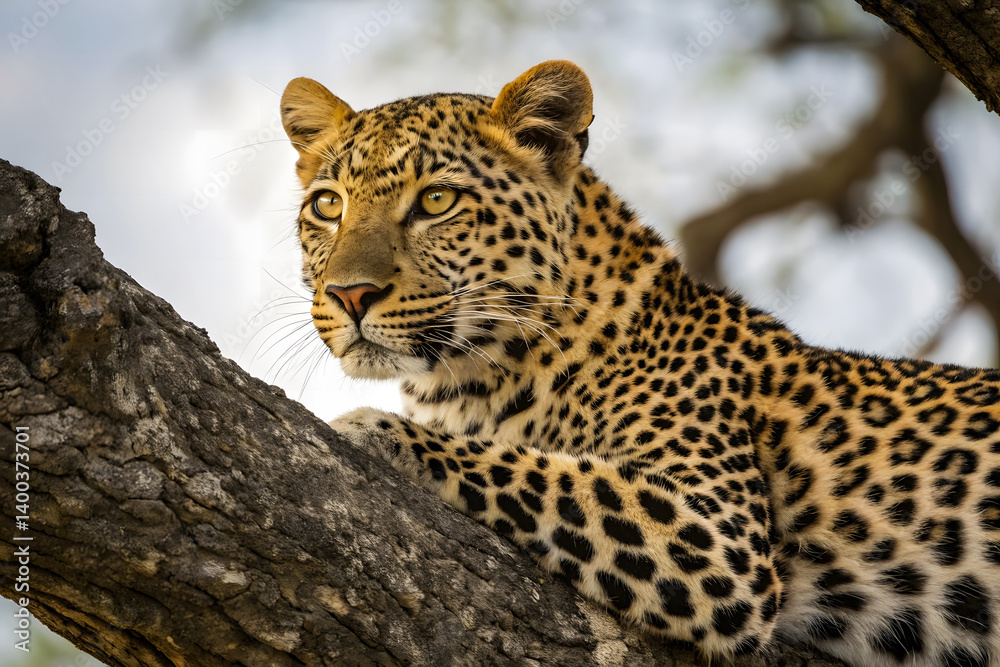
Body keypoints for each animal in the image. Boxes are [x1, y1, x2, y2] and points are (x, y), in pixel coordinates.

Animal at [278, 60, 1000, 666]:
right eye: (328, 206)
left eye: (436, 201)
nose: (349, 295)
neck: (463, 380)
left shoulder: (720, 536)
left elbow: (540, 469)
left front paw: (370, 429)